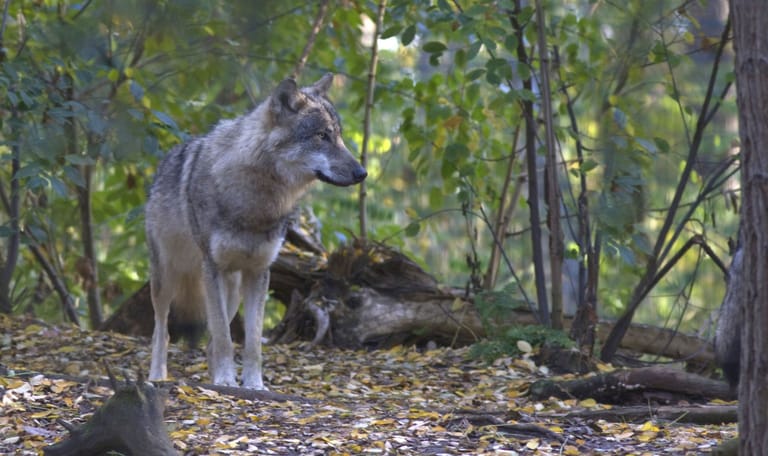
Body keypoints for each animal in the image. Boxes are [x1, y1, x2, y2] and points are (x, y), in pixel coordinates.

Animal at [146, 74, 367, 389]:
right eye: (322, 136)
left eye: (339, 136)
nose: (363, 173)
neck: (256, 200)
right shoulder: (212, 268)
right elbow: (225, 339)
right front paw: (226, 381)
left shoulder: (259, 272)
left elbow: (250, 343)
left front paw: (252, 384)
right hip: (168, 279)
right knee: (162, 330)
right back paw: (158, 376)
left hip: (232, 289)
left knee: (212, 339)